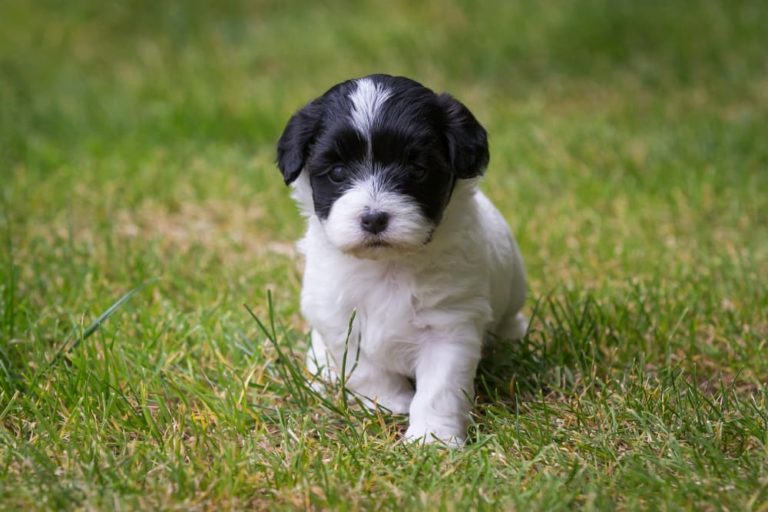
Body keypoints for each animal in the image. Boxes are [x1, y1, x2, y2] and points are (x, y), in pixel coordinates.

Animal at [278, 74, 528, 446]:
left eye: (417, 169)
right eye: (337, 172)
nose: (374, 218)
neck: (388, 266)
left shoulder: (449, 326)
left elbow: (439, 389)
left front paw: (432, 440)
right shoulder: (339, 320)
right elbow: (365, 370)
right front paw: (389, 403)